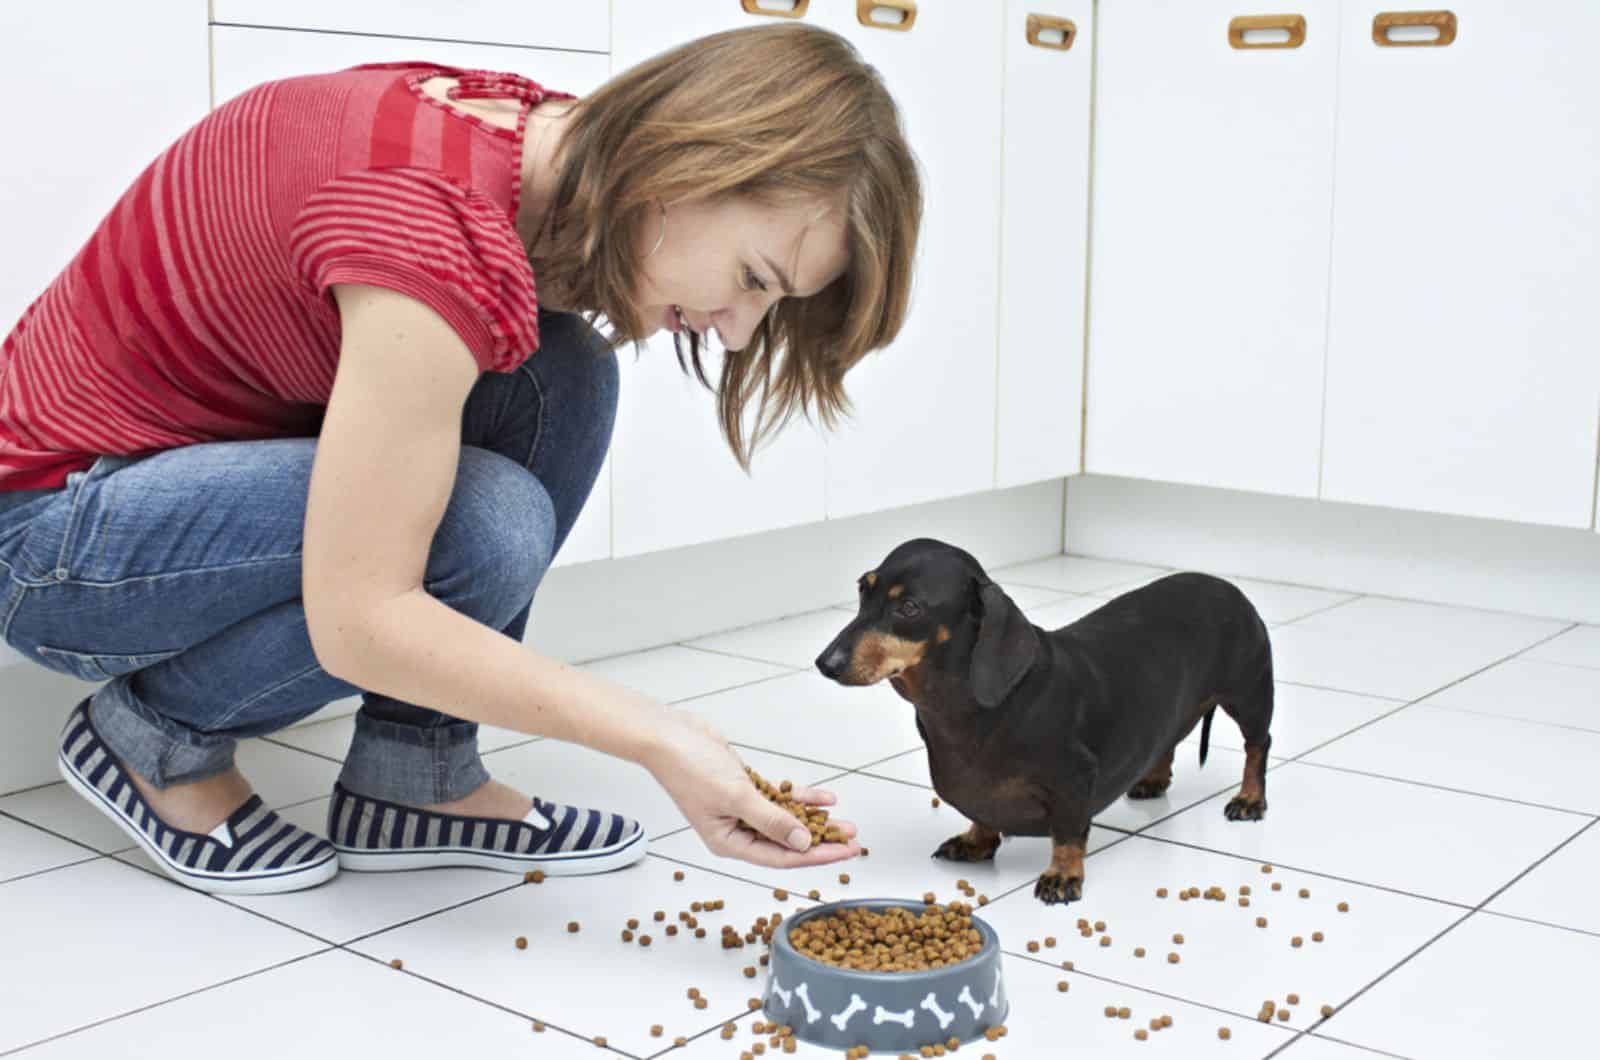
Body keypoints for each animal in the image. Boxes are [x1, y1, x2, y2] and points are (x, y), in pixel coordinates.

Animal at [819, 544, 1267, 909]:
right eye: (863, 589)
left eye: (909, 607)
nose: (826, 663)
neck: (964, 709)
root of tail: (1222, 584)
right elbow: (982, 814)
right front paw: (976, 841)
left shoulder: (1074, 778)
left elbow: (1068, 833)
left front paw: (1063, 875)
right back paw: (1153, 780)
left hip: (1249, 694)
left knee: (1257, 745)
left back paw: (1249, 799)